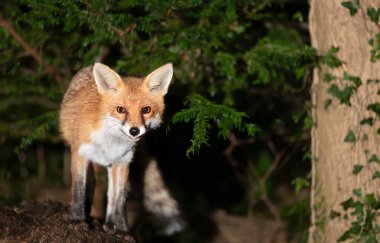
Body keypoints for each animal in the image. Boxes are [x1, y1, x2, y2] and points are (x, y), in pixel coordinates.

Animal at [59, 63, 184, 234]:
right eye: (121, 110)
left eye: (146, 110)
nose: (134, 131)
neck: (110, 143)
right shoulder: (80, 154)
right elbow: (78, 190)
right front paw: (78, 219)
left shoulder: (122, 161)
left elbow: (120, 198)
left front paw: (122, 228)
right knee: (91, 184)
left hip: (111, 166)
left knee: (110, 194)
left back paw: (110, 223)